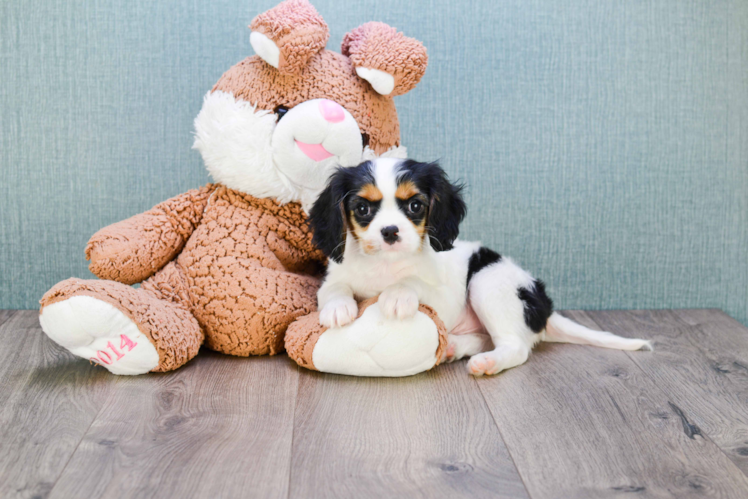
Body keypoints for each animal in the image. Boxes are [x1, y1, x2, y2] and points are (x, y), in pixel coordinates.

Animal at [306, 159, 652, 376]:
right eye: (363, 209)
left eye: (415, 205)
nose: (390, 232)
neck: (385, 264)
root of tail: (544, 304)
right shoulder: (334, 276)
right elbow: (335, 287)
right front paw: (338, 308)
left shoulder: (443, 296)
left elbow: (414, 283)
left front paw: (397, 295)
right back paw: (453, 347)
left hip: (488, 283)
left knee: (516, 347)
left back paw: (487, 362)